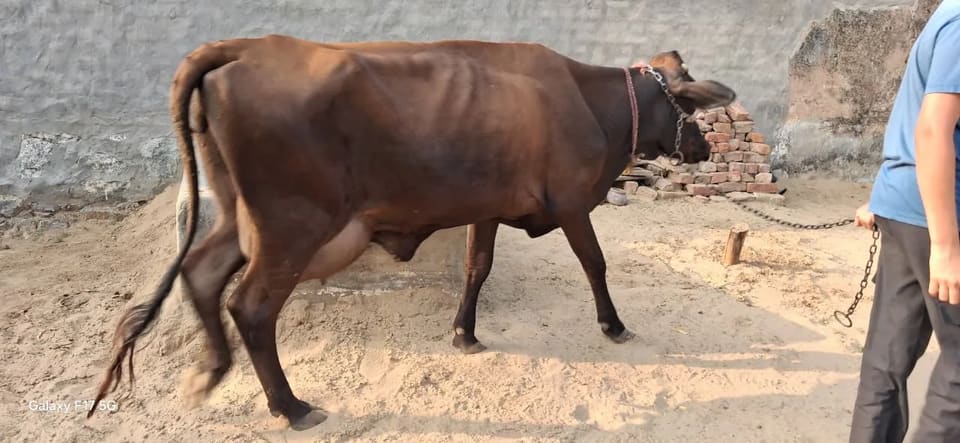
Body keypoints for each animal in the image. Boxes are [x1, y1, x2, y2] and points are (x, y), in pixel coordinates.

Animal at [88, 34, 736, 429]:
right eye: (691, 109)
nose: (704, 150)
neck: (591, 102)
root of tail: (245, 48)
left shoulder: (488, 205)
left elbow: (477, 267)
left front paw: (464, 334)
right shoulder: (574, 202)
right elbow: (595, 264)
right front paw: (613, 325)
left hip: (238, 216)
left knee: (200, 273)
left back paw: (211, 371)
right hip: (292, 224)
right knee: (250, 305)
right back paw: (290, 406)